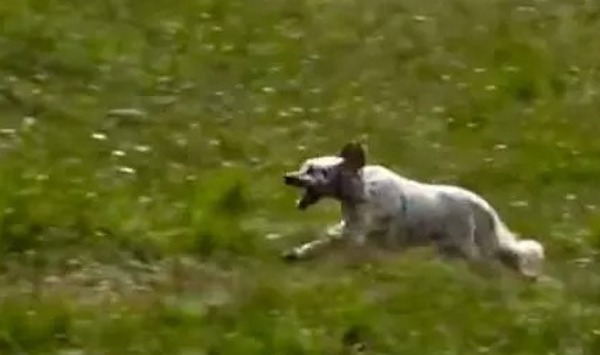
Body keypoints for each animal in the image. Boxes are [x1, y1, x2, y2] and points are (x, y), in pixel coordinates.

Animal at [282, 143, 544, 280]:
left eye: (313, 170)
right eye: (304, 166)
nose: (287, 177)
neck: (362, 189)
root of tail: (485, 207)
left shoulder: (359, 234)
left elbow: (330, 243)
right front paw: (297, 252)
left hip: (467, 247)